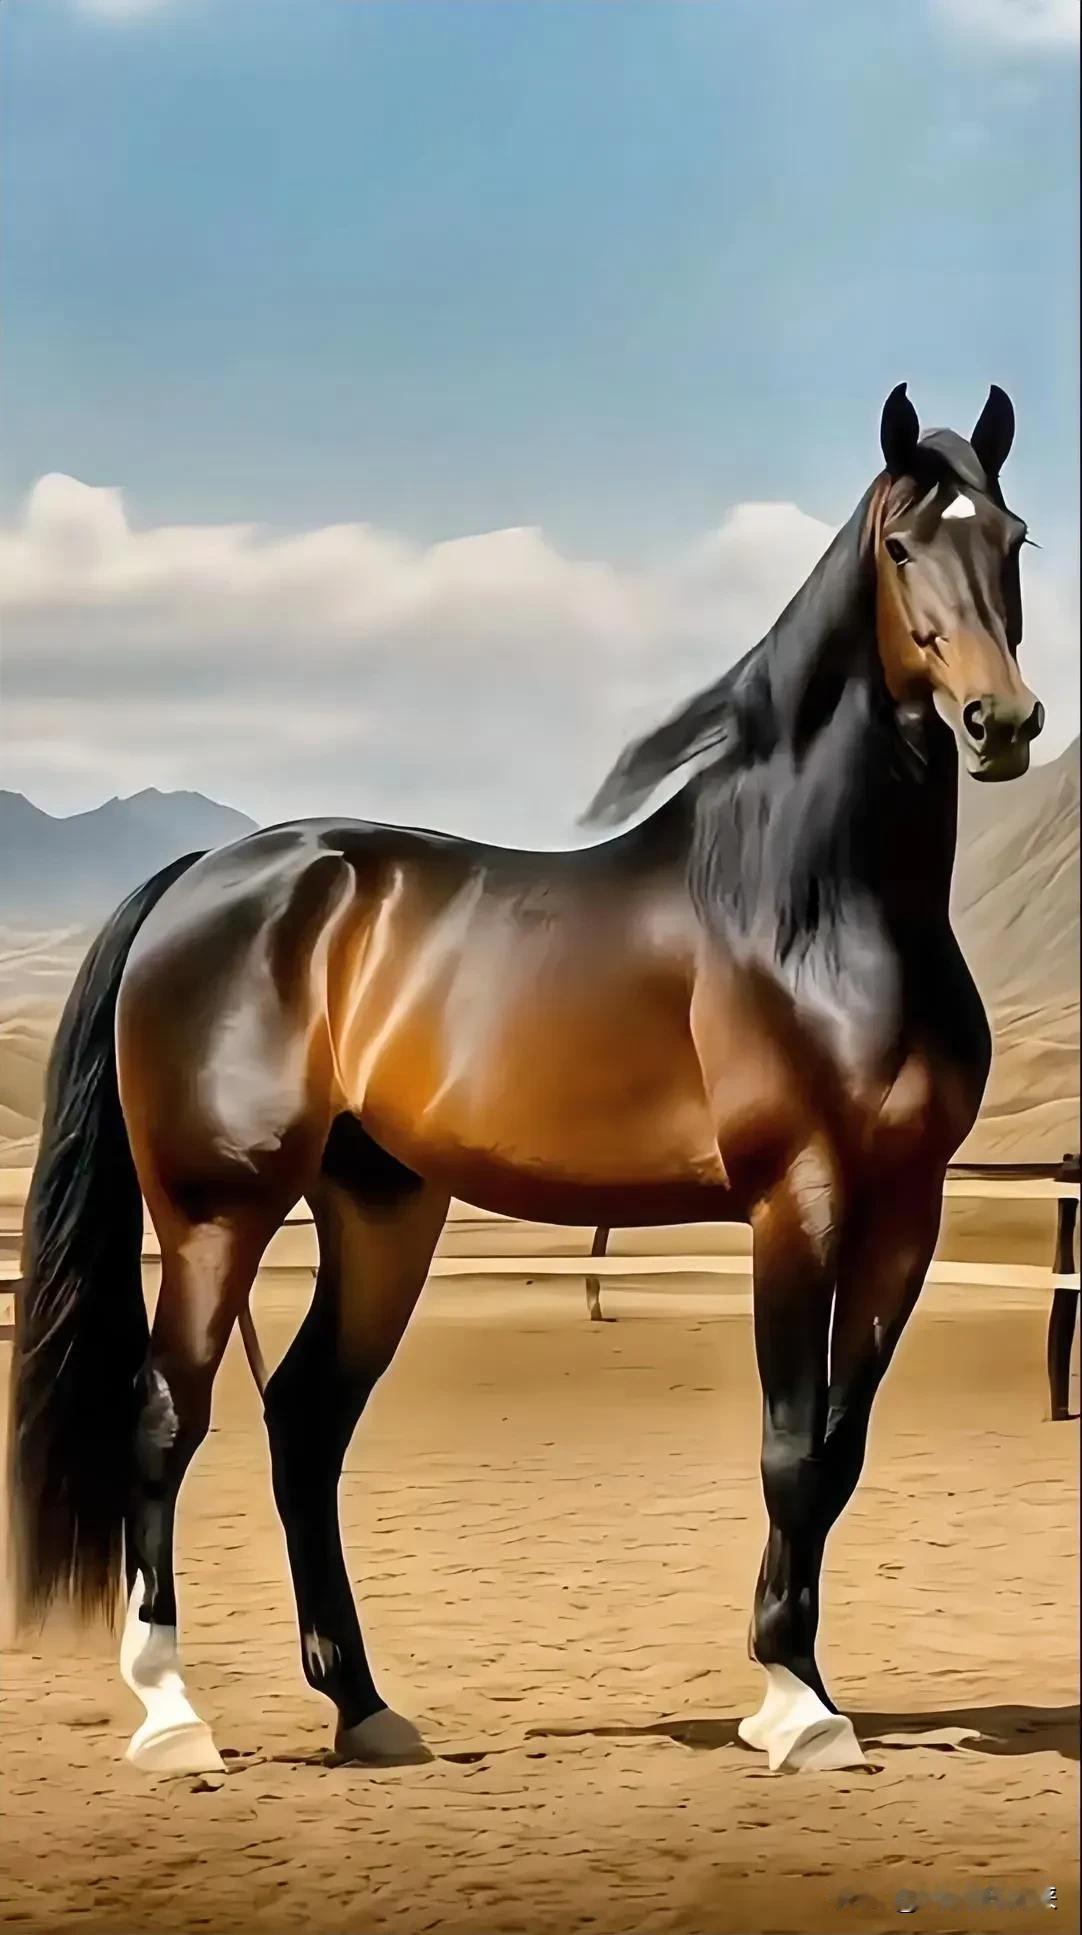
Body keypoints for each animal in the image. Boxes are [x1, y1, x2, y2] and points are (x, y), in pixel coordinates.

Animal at [7, 384, 1044, 1778]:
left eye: (1012, 538)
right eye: (897, 546)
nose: (1001, 726)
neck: (809, 912)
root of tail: (205, 877)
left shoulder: (905, 1211)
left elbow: (835, 1452)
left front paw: (796, 1689)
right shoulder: (798, 1200)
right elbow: (786, 1447)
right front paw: (794, 1709)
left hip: (381, 1214)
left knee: (304, 1425)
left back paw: (364, 1708)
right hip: (215, 1214)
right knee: (167, 1421)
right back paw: (175, 1718)